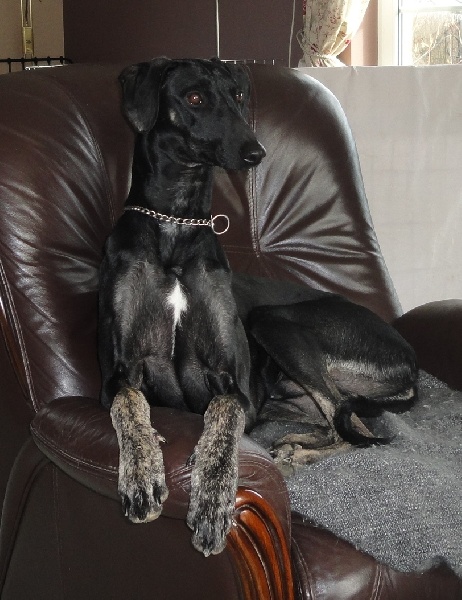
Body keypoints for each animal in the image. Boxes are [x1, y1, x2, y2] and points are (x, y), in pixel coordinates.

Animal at [98, 57, 418, 557]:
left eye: (237, 96)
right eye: (194, 98)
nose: (256, 153)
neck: (175, 223)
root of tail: (409, 357)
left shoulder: (236, 386)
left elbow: (223, 417)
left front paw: (213, 501)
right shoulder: (118, 371)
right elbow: (129, 405)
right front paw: (143, 473)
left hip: (274, 323)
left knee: (354, 428)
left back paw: (294, 455)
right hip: (290, 387)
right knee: (343, 419)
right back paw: (296, 447)